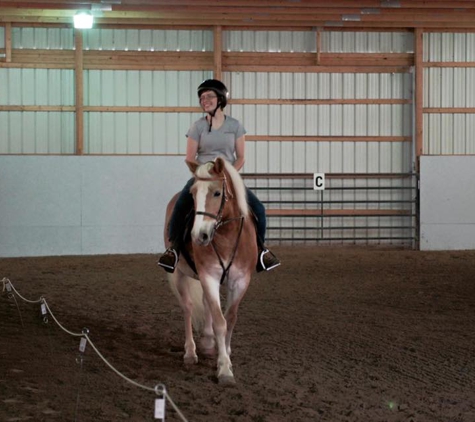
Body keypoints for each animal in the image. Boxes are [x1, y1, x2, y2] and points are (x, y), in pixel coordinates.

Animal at [165, 157, 258, 384]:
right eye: (192, 194)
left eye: (217, 193)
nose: (199, 235)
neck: (226, 236)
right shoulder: (209, 276)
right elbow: (219, 321)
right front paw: (224, 369)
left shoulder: (241, 280)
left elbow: (230, 319)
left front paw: (226, 353)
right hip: (179, 274)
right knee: (188, 307)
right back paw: (191, 352)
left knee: (205, 304)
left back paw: (208, 343)